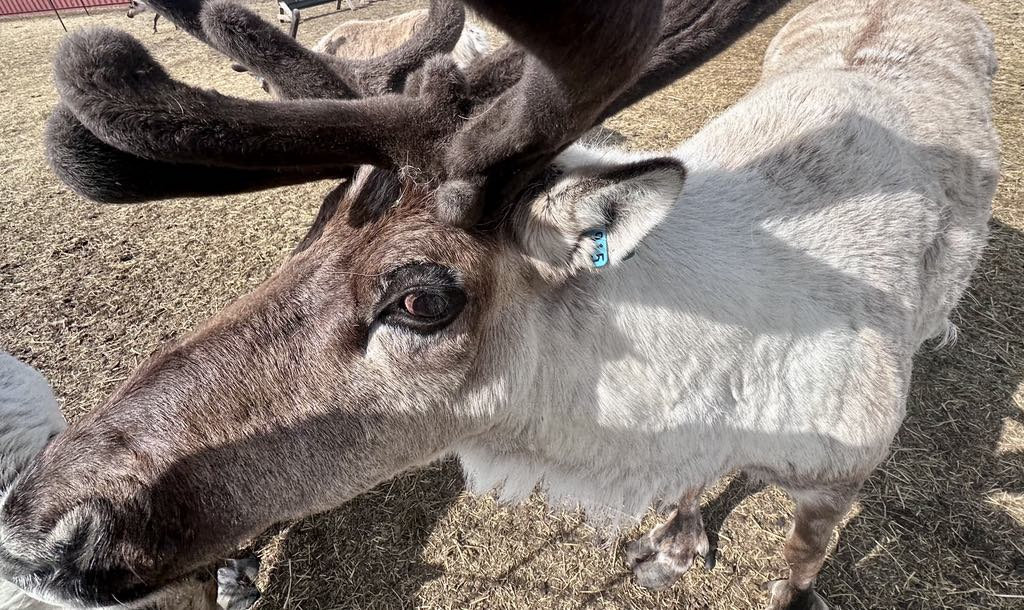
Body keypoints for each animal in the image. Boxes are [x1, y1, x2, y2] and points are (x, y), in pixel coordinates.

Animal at [0, 0, 999, 608]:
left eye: (421, 299)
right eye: (311, 228)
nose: (33, 526)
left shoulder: (845, 472)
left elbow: (796, 565)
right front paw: (672, 545)